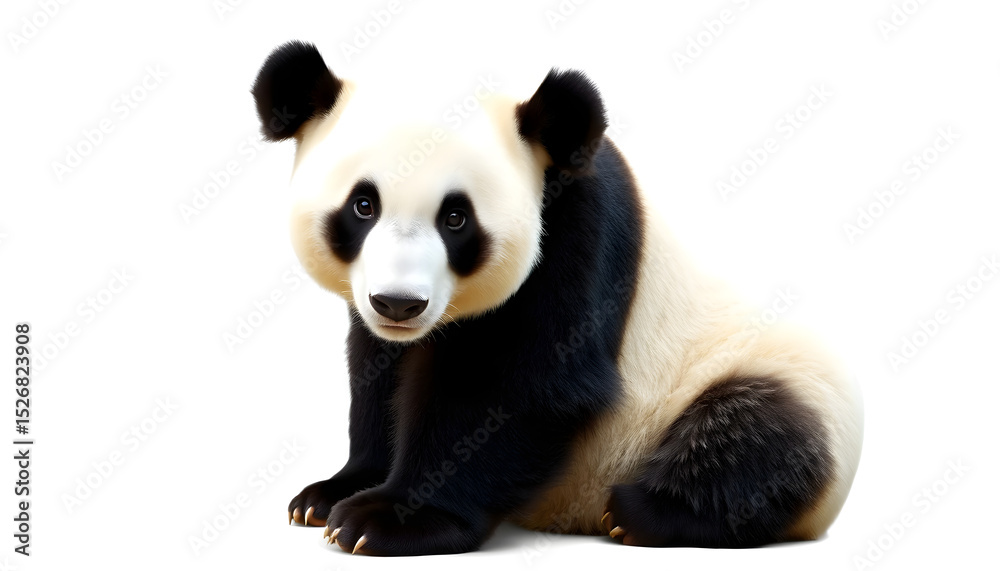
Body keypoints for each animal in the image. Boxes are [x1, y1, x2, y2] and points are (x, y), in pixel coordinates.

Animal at [252, 41, 864, 556]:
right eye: (363, 206)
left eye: (456, 218)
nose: (399, 304)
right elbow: (378, 371)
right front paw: (332, 493)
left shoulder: (580, 230)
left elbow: (520, 386)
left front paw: (387, 519)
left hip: (761, 373)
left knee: (753, 434)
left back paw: (640, 512)